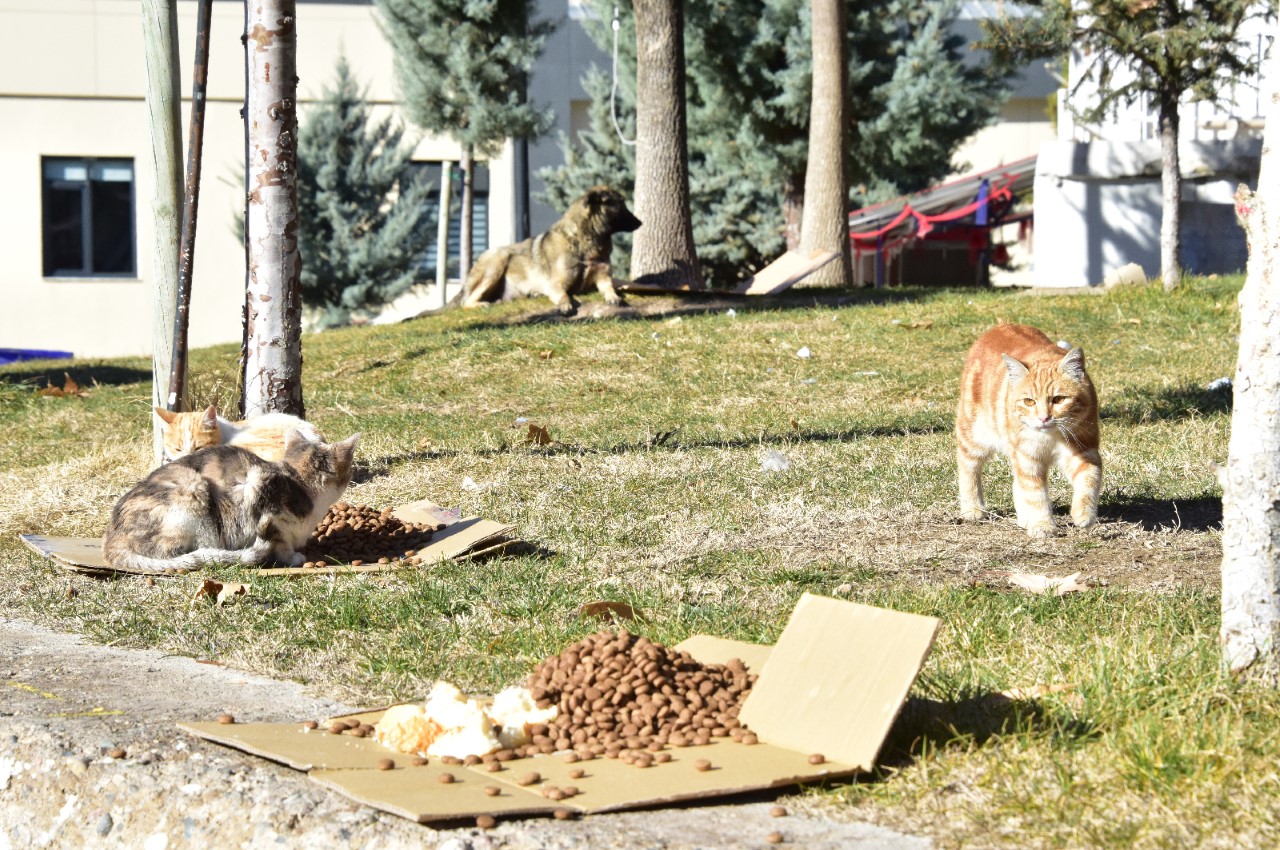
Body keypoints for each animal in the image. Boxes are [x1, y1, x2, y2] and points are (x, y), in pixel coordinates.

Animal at [100, 427, 358, 573]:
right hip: (193, 492)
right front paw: (293, 557)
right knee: (172, 554)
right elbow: (280, 540)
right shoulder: (258, 489)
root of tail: (111, 540)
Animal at [458, 185, 640, 314]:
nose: (640, 222)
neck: (586, 239)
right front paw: (565, 305)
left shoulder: (603, 277)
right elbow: (563, 294)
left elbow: (609, 287)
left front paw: (613, 296)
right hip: (498, 260)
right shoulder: (556, 283)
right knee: (465, 302)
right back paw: (481, 304)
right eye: (621, 204)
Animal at [962, 322, 1100, 535]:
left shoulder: (1084, 451)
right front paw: (1042, 524)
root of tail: (1002, 324)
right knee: (968, 468)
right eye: (1029, 401)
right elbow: (1036, 494)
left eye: (1058, 399)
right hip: (974, 437)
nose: (1043, 418)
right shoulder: (1028, 457)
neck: (1051, 437)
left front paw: (1083, 513)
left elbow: (1089, 479)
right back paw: (972, 508)